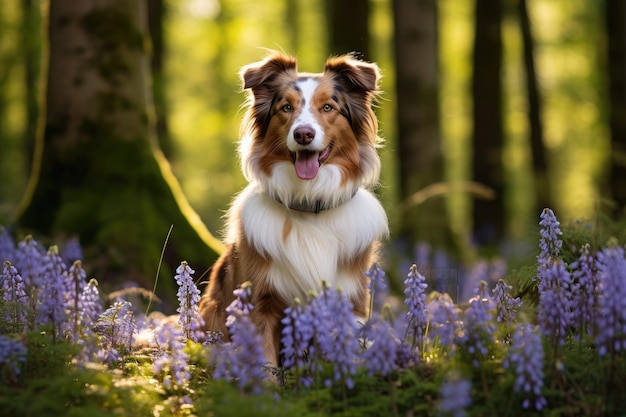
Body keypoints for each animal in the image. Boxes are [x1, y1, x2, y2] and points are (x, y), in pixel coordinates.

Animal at [197, 52, 388, 368]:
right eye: (286, 107)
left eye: (328, 107)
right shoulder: (259, 302)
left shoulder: (350, 300)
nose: (303, 134)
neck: (309, 204)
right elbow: (265, 363)